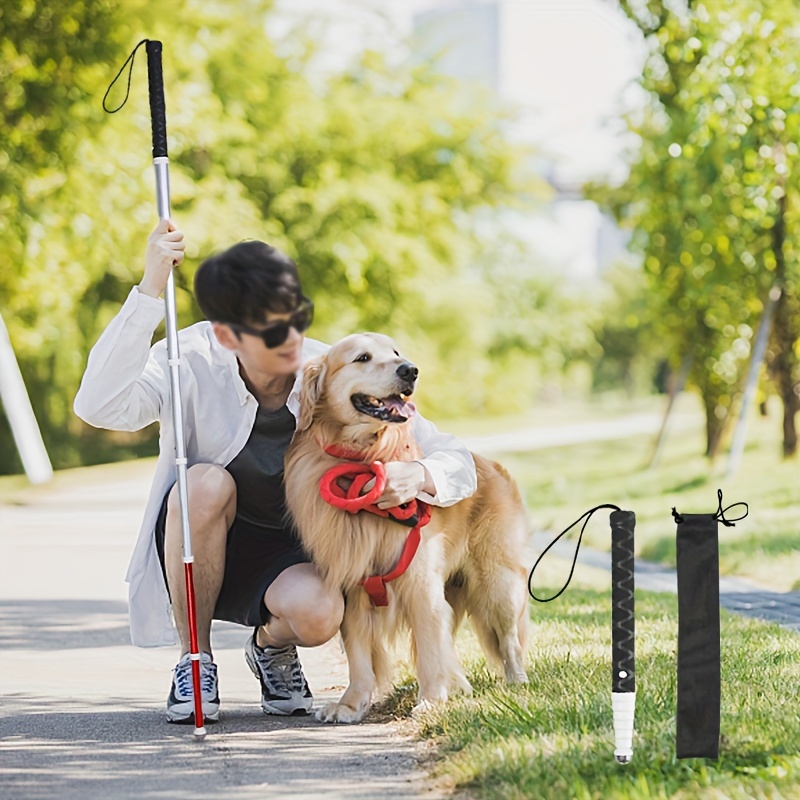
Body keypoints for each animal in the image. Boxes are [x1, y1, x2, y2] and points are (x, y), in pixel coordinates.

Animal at [284, 334, 528, 720]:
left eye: (396, 352)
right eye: (362, 358)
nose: (410, 370)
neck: (361, 461)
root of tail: (491, 465)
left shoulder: (420, 584)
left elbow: (429, 649)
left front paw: (431, 700)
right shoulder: (353, 586)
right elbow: (358, 655)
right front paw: (351, 703)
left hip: (497, 584)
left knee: (509, 639)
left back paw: (515, 682)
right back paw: (458, 685)